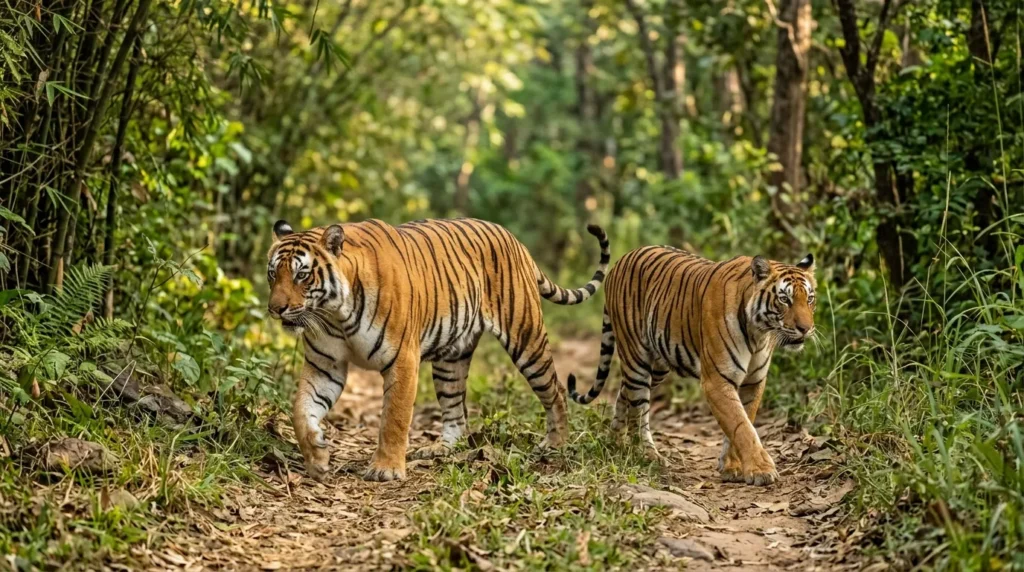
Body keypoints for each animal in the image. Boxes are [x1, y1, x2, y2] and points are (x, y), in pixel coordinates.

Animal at [266, 218, 610, 482]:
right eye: (273, 274)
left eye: (301, 274)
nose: (275, 309)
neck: (334, 314)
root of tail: (514, 239)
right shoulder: (325, 364)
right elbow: (301, 410)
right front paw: (317, 457)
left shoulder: (403, 359)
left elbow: (394, 418)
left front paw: (385, 469)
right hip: (451, 360)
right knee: (456, 412)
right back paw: (440, 449)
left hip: (526, 338)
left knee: (555, 390)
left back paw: (555, 443)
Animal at [567, 247, 816, 486]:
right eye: (784, 299)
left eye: (810, 299)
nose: (806, 328)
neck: (759, 333)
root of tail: (620, 261)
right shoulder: (717, 380)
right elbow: (741, 426)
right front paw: (761, 470)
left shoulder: (753, 381)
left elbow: (743, 421)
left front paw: (732, 467)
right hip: (636, 358)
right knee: (639, 411)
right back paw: (647, 455)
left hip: (657, 367)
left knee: (623, 393)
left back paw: (616, 442)